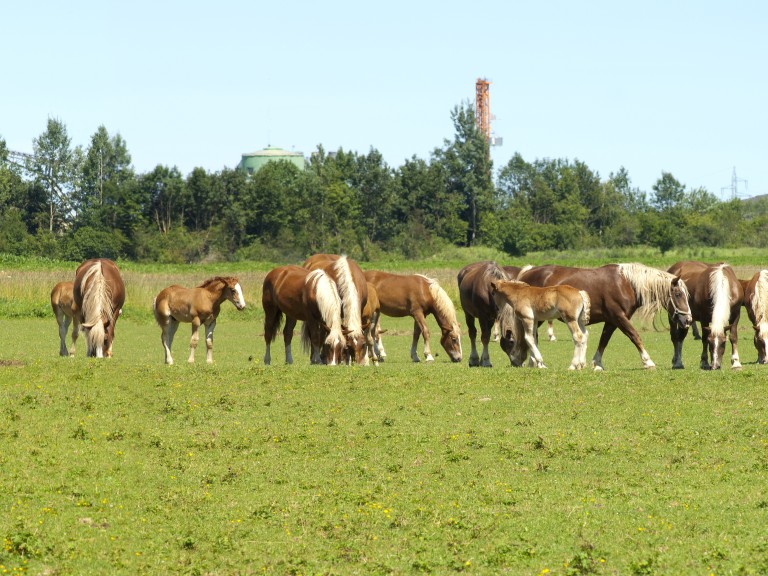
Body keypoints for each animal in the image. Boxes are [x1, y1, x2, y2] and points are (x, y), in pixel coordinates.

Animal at [520, 264, 692, 372]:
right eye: (678, 294)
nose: (688, 320)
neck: (626, 284)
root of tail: (527, 272)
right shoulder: (619, 317)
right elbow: (635, 336)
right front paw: (648, 362)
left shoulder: (611, 320)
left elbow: (604, 340)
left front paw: (597, 364)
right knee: (530, 336)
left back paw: (533, 362)